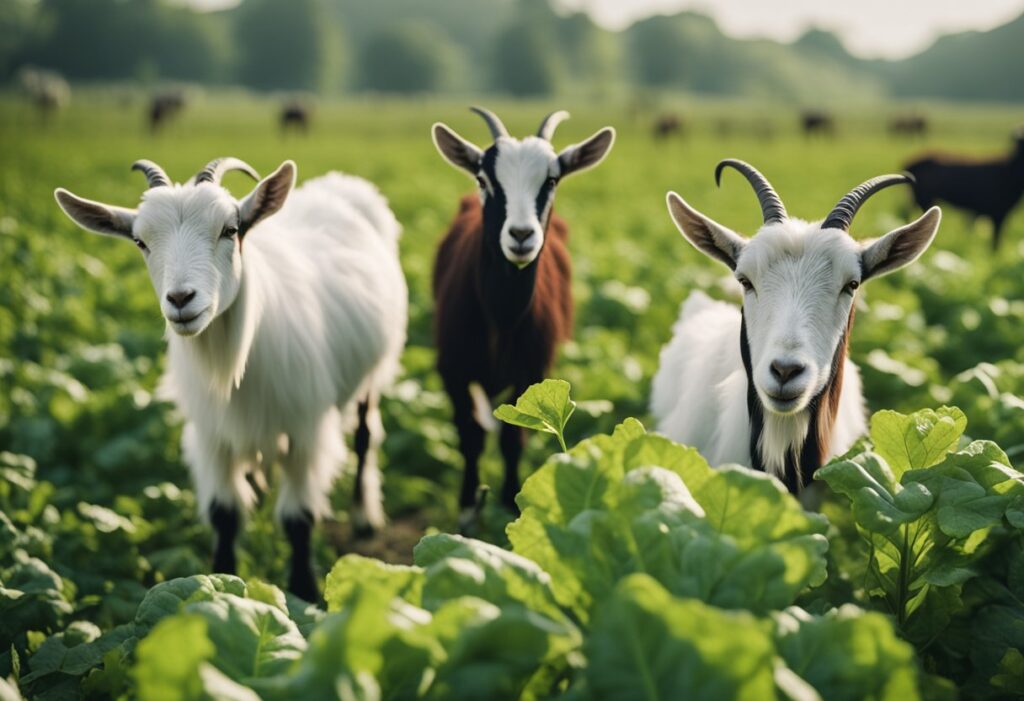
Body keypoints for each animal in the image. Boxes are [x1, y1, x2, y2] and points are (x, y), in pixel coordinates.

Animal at [53, 158, 407, 600]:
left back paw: (363, 517)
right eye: (140, 242)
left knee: (363, 436)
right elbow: (224, 514)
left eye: (230, 229)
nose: (181, 299)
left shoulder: (306, 428)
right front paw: (220, 588)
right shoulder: (210, 433)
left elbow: (299, 519)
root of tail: (343, 184)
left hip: (373, 373)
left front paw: (304, 593)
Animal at [431, 107, 614, 524]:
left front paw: (509, 500)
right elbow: (469, 435)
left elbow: (515, 437)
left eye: (552, 180)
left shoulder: (531, 371)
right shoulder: (453, 369)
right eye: (484, 179)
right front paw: (467, 506)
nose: (520, 235)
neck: (501, 317)